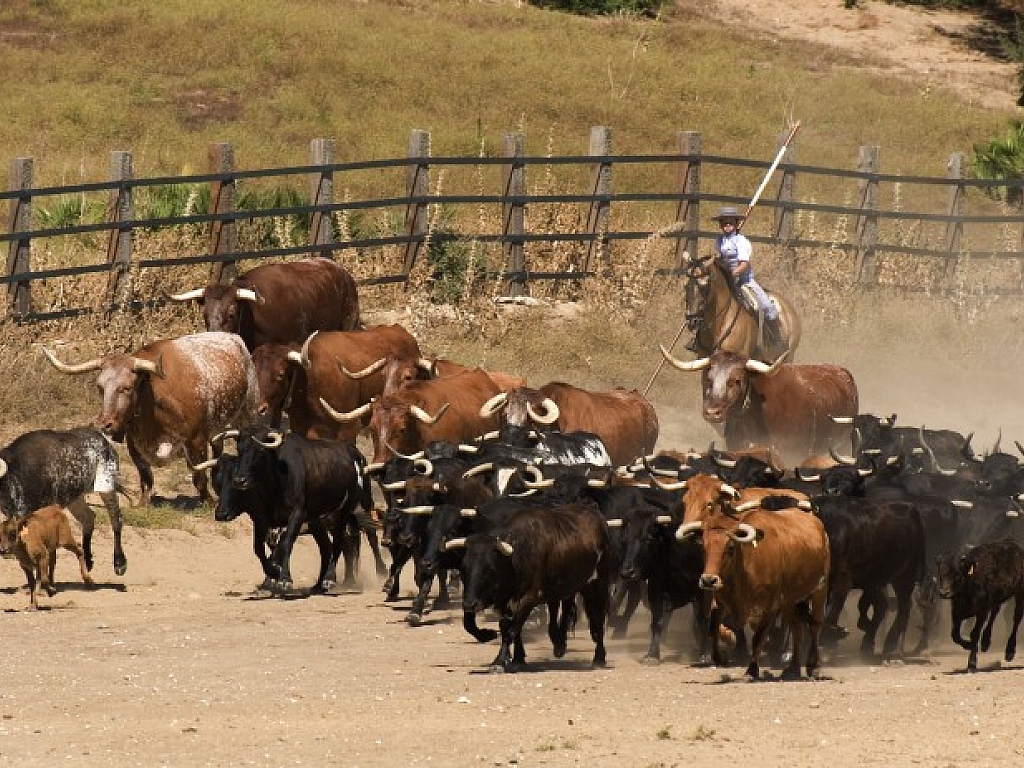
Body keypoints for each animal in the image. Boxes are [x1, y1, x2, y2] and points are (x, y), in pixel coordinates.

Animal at [43, 331, 260, 505]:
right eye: (100, 387)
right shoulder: (134, 444)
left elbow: (199, 477)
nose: (104, 425)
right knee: (218, 448)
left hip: (249, 412)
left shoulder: (196, 441)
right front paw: (142, 503)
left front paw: (209, 501)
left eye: (126, 388)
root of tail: (233, 337)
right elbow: (146, 478)